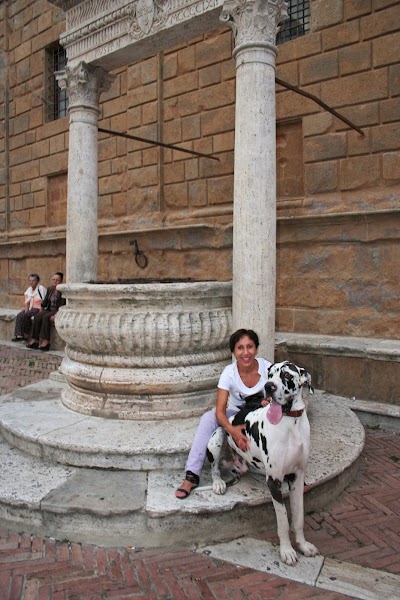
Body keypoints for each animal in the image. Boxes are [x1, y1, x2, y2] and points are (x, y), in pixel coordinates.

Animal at [206, 360, 318, 568]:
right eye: (270, 374)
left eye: (287, 375)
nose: (269, 387)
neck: (291, 423)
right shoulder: (273, 480)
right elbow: (283, 521)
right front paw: (287, 551)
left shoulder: (298, 477)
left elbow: (298, 517)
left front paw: (303, 545)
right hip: (216, 438)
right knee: (214, 467)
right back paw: (218, 483)